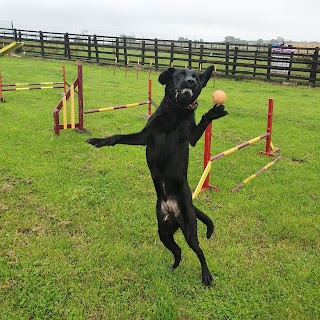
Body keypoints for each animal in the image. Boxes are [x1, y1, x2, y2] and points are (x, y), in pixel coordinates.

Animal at [87, 65, 228, 284]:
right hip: (163, 232)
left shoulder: (191, 137)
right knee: (178, 251)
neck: (176, 112)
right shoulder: (146, 136)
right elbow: (118, 137)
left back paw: (206, 275)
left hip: (189, 230)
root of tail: (174, 209)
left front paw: (213, 113)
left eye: (196, 77)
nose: (190, 82)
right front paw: (99, 141)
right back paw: (173, 267)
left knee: (199, 252)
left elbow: (202, 123)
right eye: (180, 74)